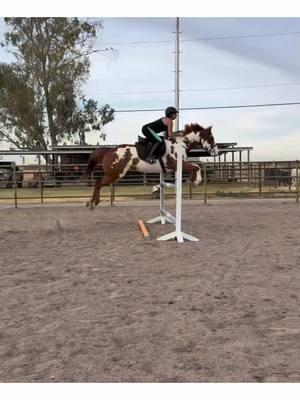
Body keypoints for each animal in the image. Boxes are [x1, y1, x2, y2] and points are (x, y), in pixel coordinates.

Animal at [83, 122, 219, 209]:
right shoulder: (176, 164)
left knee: (98, 183)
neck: (180, 144)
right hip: (115, 174)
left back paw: (91, 203)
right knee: (98, 183)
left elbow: (195, 166)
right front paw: (196, 181)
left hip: (114, 174)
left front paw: (194, 180)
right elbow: (196, 166)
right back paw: (93, 203)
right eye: (211, 137)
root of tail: (109, 151)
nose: (217, 152)